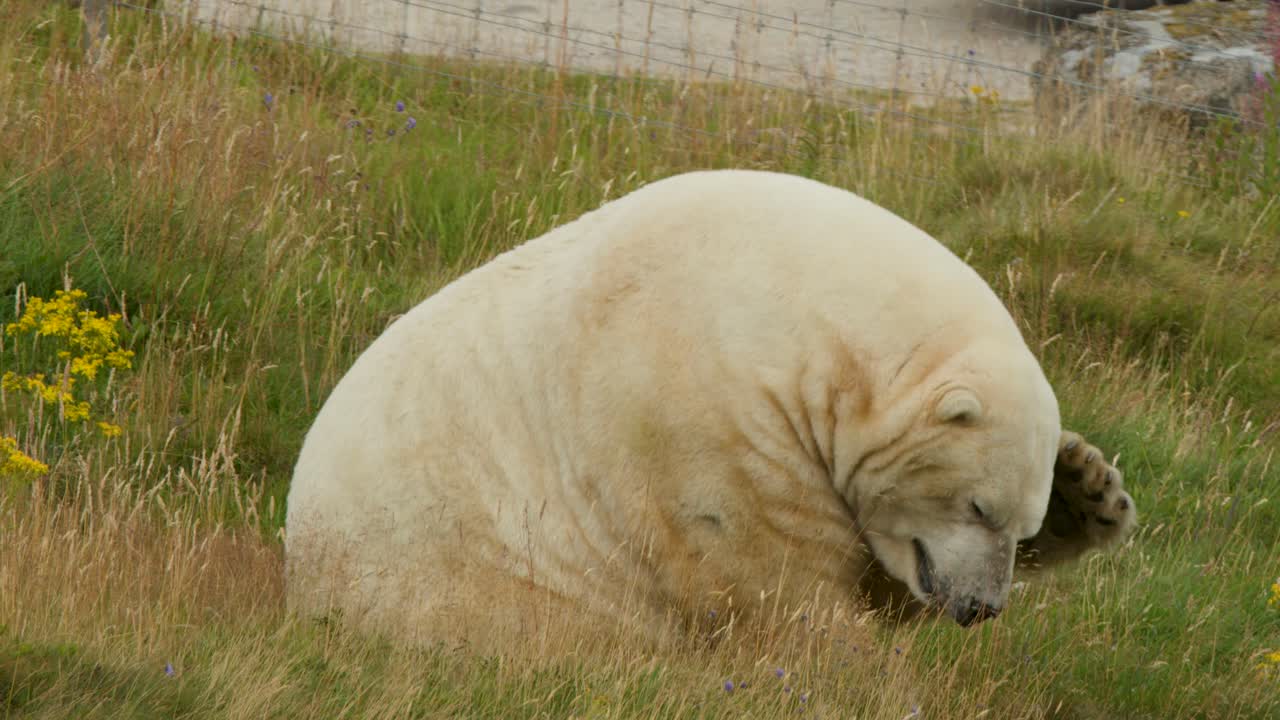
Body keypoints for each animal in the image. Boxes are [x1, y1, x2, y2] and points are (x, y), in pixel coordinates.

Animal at [284, 169, 1136, 645]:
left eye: (1021, 527)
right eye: (978, 507)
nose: (980, 607)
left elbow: (876, 580)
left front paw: (1091, 488)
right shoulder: (707, 423)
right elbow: (775, 583)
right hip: (468, 584)